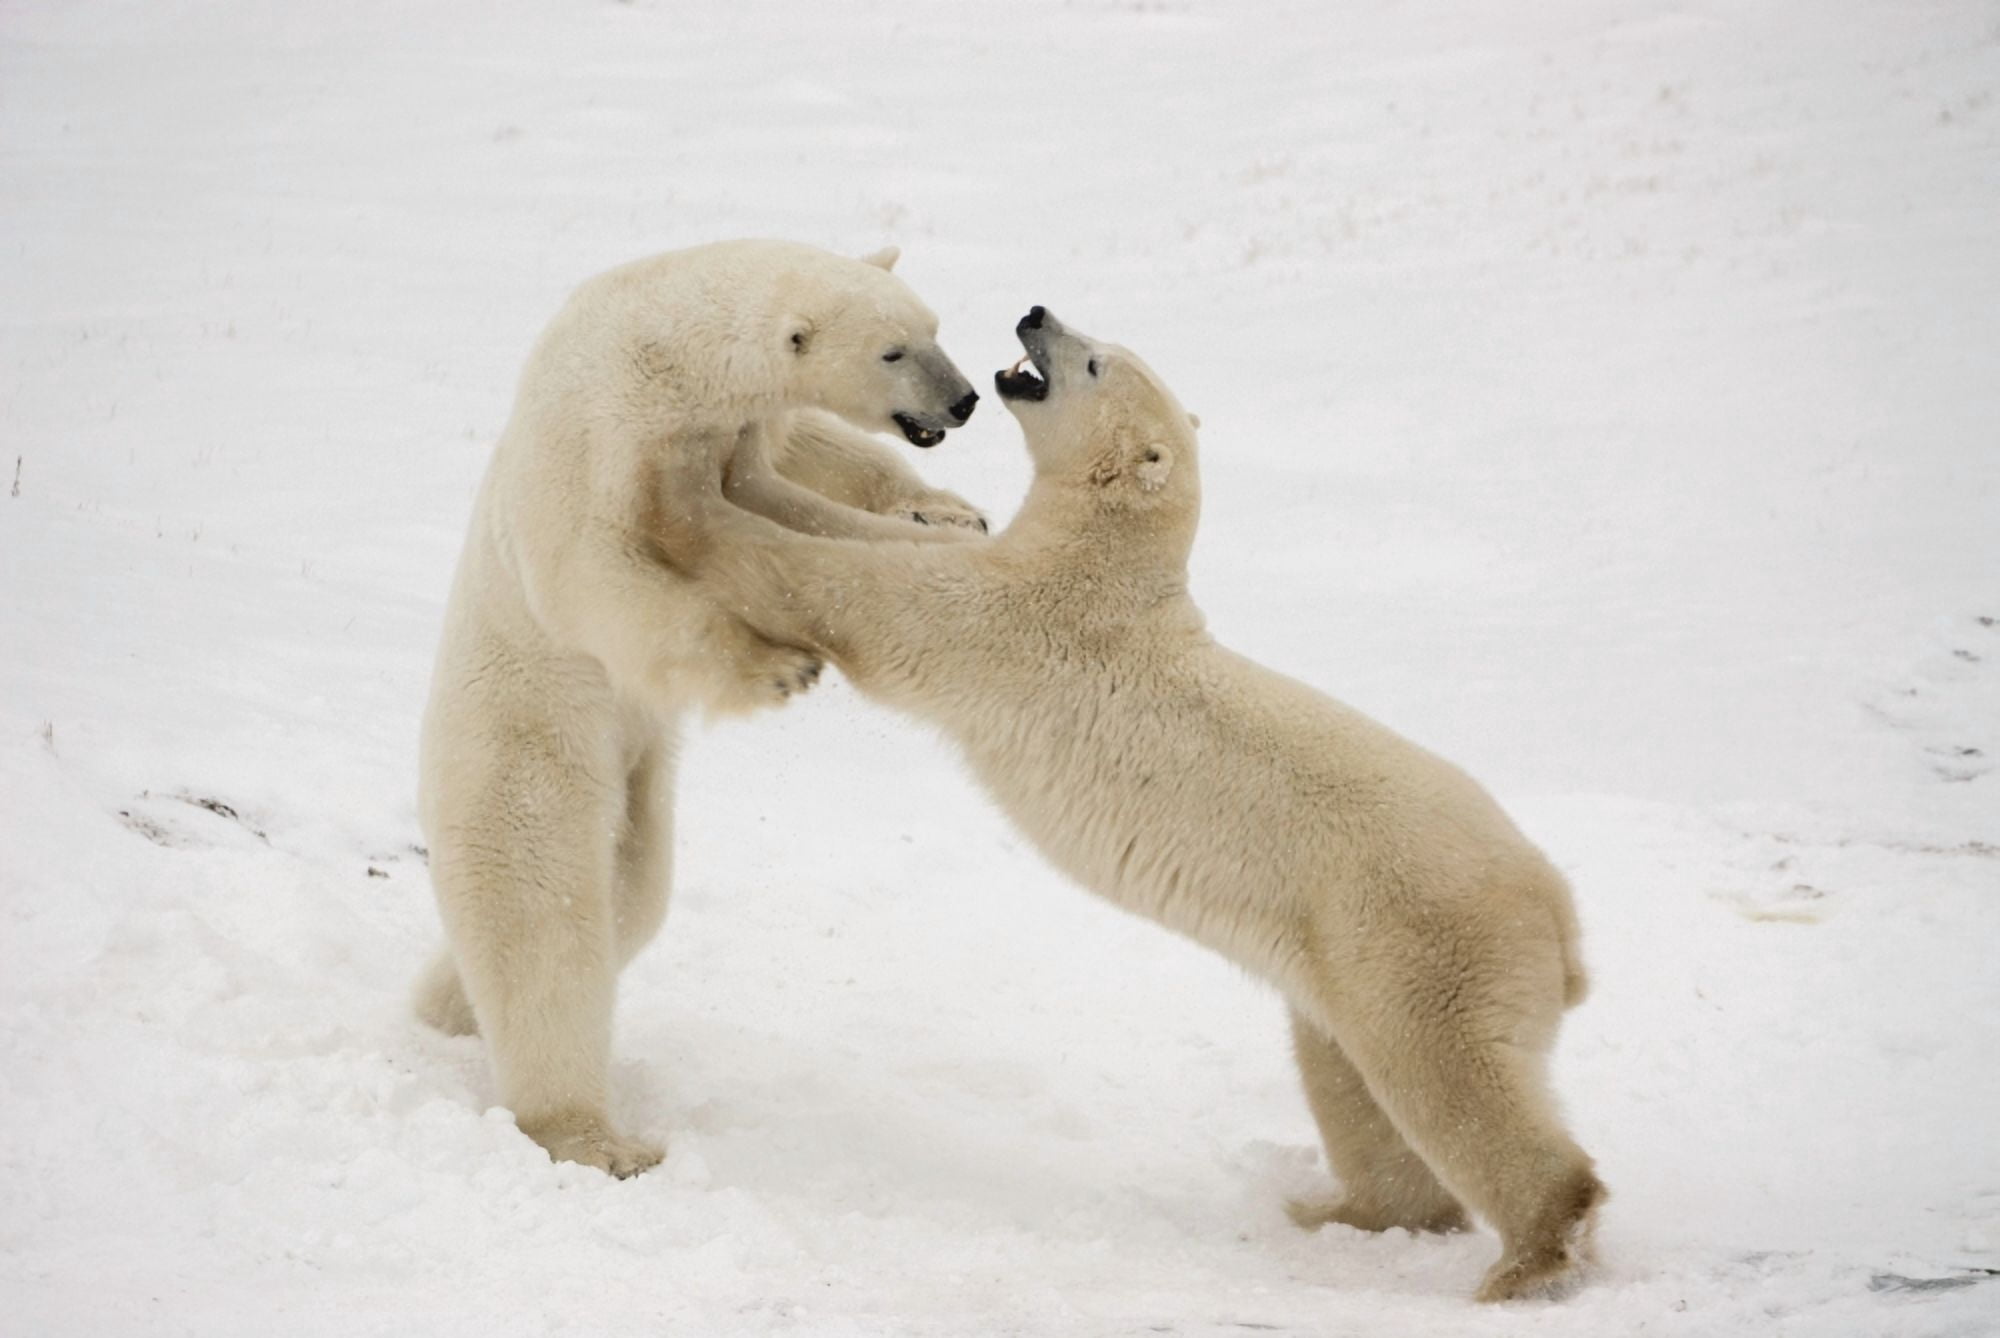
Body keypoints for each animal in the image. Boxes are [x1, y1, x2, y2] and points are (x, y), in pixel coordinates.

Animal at [413, 241, 985, 1177]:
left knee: (629, 894)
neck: (666, 340)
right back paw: (595, 1137)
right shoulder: (604, 433)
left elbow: (805, 461)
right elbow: (599, 576)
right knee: (544, 929)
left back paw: (443, 1009)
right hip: (526, 752)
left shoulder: (737, 425)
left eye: (933, 327)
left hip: (632, 773)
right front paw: (777, 668)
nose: (965, 399)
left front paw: (947, 513)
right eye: (893, 352)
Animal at [649, 306, 1604, 1302]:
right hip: (1340, 964)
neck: (1106, 569)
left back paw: (1530, 1260)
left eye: (1096, 360)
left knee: (1454, 1088)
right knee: (1356, 1089)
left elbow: (847, 589)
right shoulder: (1009, 573)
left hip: (1418, 941)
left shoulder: (1006, 623)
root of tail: (1558, 914)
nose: (1035, 313)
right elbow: (886, 540)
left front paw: (687, 492)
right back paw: (1340, 1210)